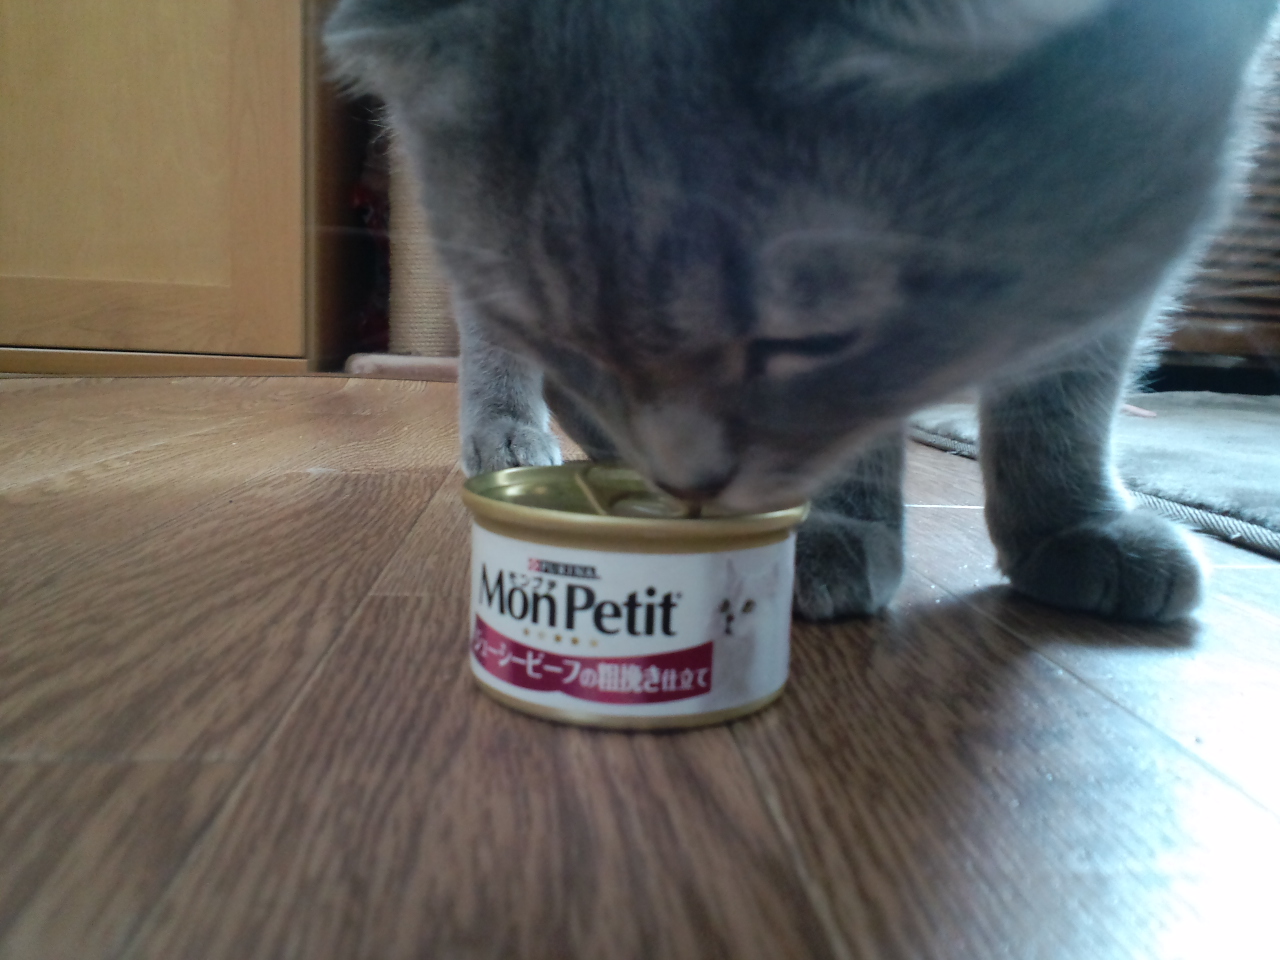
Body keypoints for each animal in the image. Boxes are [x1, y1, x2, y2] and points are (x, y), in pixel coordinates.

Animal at [325, 0, 1279, 623]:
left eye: (813, 338)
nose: (691, 480)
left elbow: (1067, 388)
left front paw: (1074, 526)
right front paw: (833, 528)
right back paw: (516, 439)